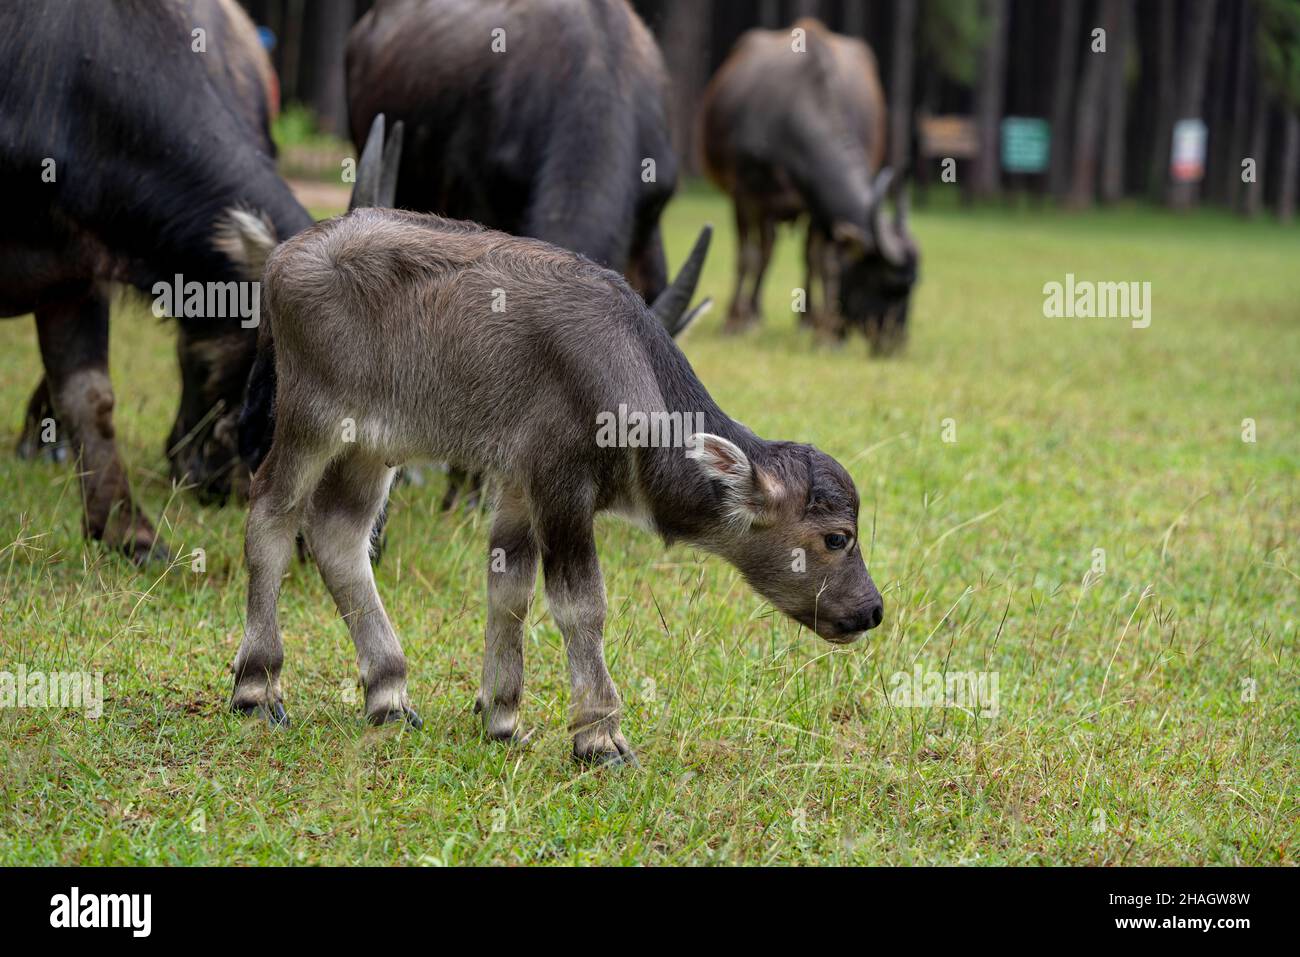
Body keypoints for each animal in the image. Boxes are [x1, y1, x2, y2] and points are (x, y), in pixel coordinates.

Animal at [226, 208, 883, 764]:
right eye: (837, 537)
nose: (872, 609)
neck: (626, 375)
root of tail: (285, 256)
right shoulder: (561, 486)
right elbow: (579, 604)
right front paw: (599, 734)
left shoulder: (518, 486)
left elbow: (509, 589)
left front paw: (501, 716)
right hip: (311, 418)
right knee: (271, 513)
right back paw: (257, 686)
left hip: (374, 445)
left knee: (339, 534)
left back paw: (388, 693)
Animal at [702, 16, 915, 353]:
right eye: (888, 284)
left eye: (913, 288)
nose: (895, 342)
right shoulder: (744, 194)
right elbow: (747, 257)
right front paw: (733, 321)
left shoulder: (816, 205)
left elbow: (821, 262)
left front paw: (824, 332)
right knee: (764, 250)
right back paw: (751, 314)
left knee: (794, 254)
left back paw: (805, 319)